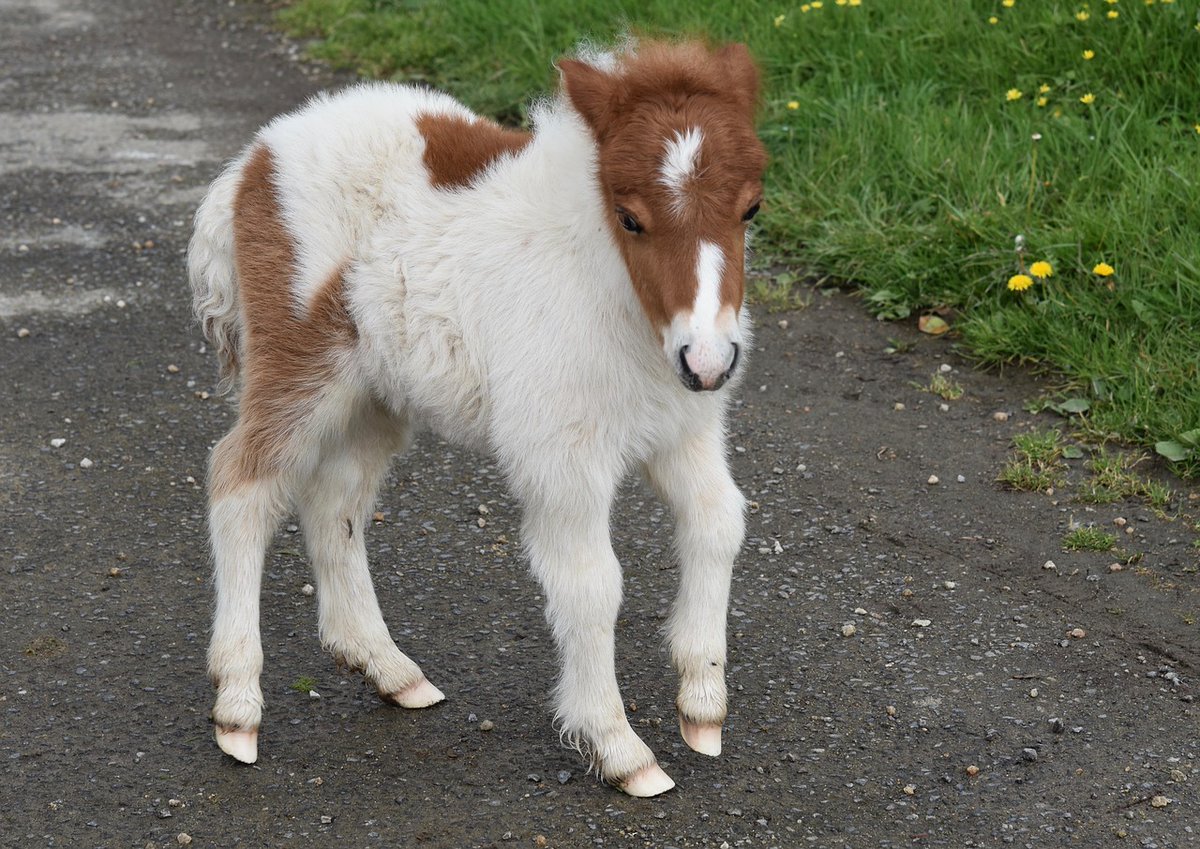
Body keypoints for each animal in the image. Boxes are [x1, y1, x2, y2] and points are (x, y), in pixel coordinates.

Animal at [188, 37, 767, 797]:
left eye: (752, 209)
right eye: (630, 216)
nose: (708, 359)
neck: (610, 290)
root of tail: (254, 160)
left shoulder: (683, 429)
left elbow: (718, 523)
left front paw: (702, 703)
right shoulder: (562, 458)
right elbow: (592, 585)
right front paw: (618, 747)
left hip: (377, 395)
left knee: (334, 502)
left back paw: (387, 668)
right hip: (301, 362)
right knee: (242, 484)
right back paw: (237, 705)